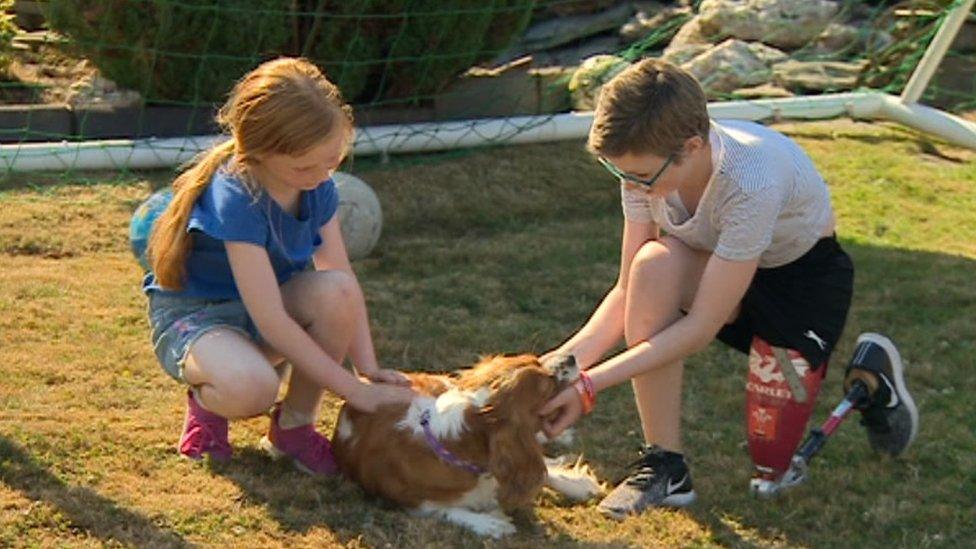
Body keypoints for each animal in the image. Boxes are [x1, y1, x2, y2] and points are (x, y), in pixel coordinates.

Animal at [334, 354, 604, 536]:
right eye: (548, 384)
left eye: (538, 359)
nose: (570, 357)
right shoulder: (403, 499)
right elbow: (443, 510)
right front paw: (488, 523)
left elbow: (542, 472)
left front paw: (575, 481)